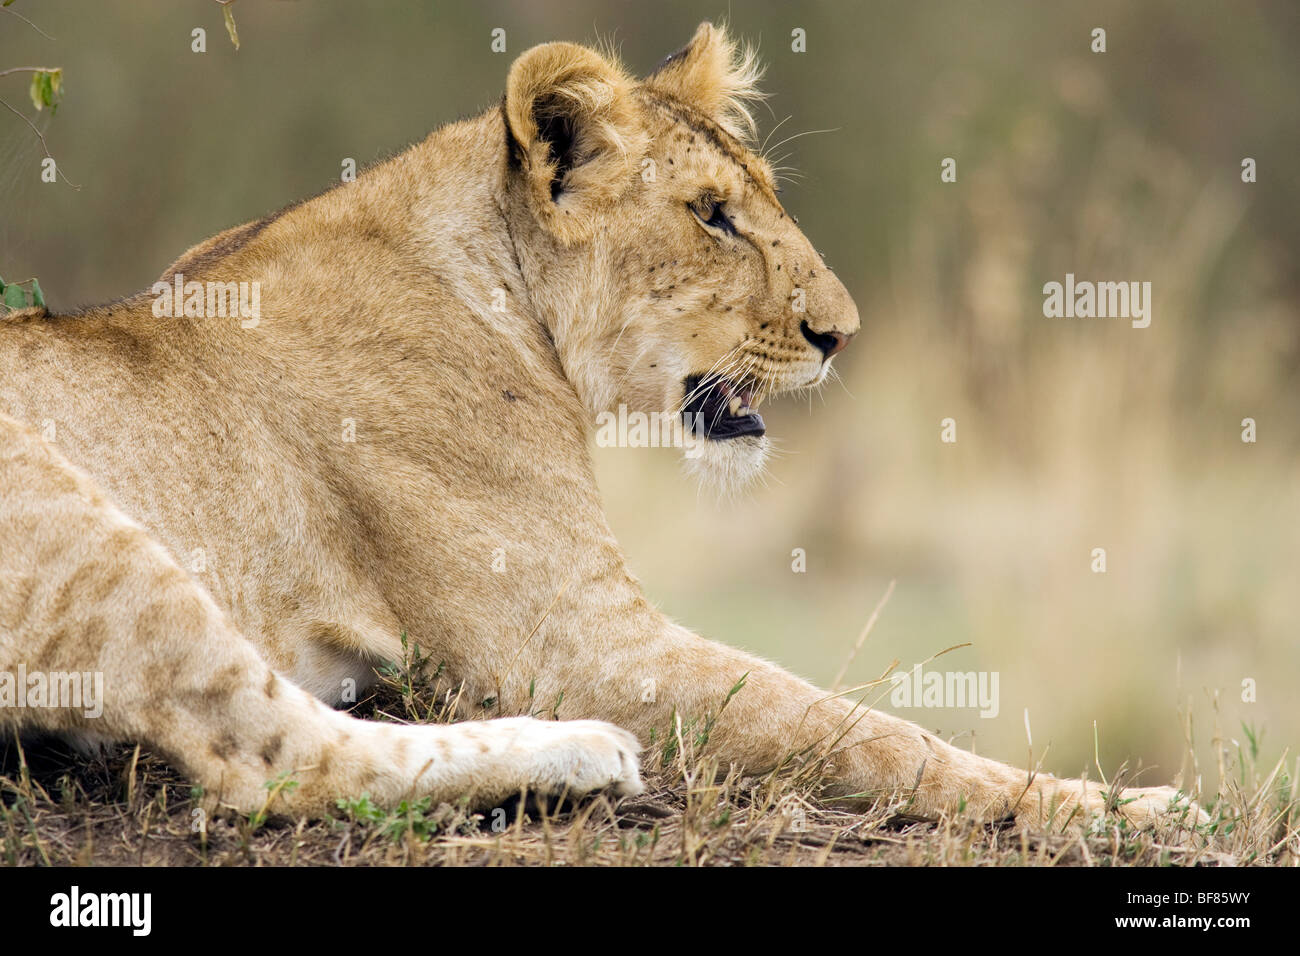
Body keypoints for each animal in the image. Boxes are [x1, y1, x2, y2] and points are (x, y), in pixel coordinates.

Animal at [0, 23, 1193, 829]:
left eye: (756, 199)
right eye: (711, 216)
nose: (841, 334)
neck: (505, 294)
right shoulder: (572, 642)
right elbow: (857, 728)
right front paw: (1118, 808)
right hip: (75, 518)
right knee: (276, 764)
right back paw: (580, 753)